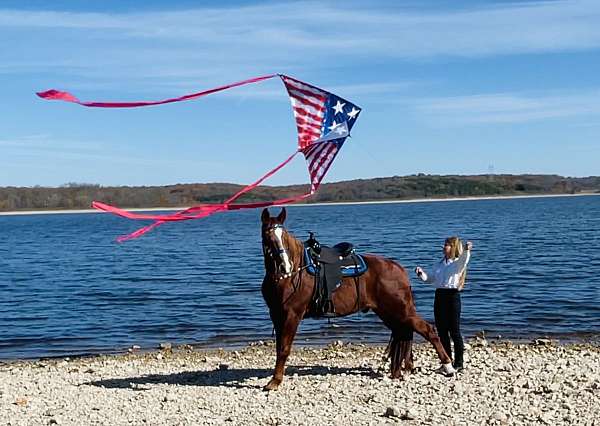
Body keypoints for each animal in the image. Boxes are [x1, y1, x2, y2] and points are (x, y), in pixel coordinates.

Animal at [260, 208, 452, 392]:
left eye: (284, 235)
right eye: (268, 236)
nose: (285, 265)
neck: (292, 274)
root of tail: (398, 268)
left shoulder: (293, 315)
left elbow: (284, 348)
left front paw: (274, 382)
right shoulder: (276, 315)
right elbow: (279, 347)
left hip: (401, 311)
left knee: (428, 330)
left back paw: (448, 366)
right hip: (389, 313)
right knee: (404, 332)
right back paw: (404, 368)